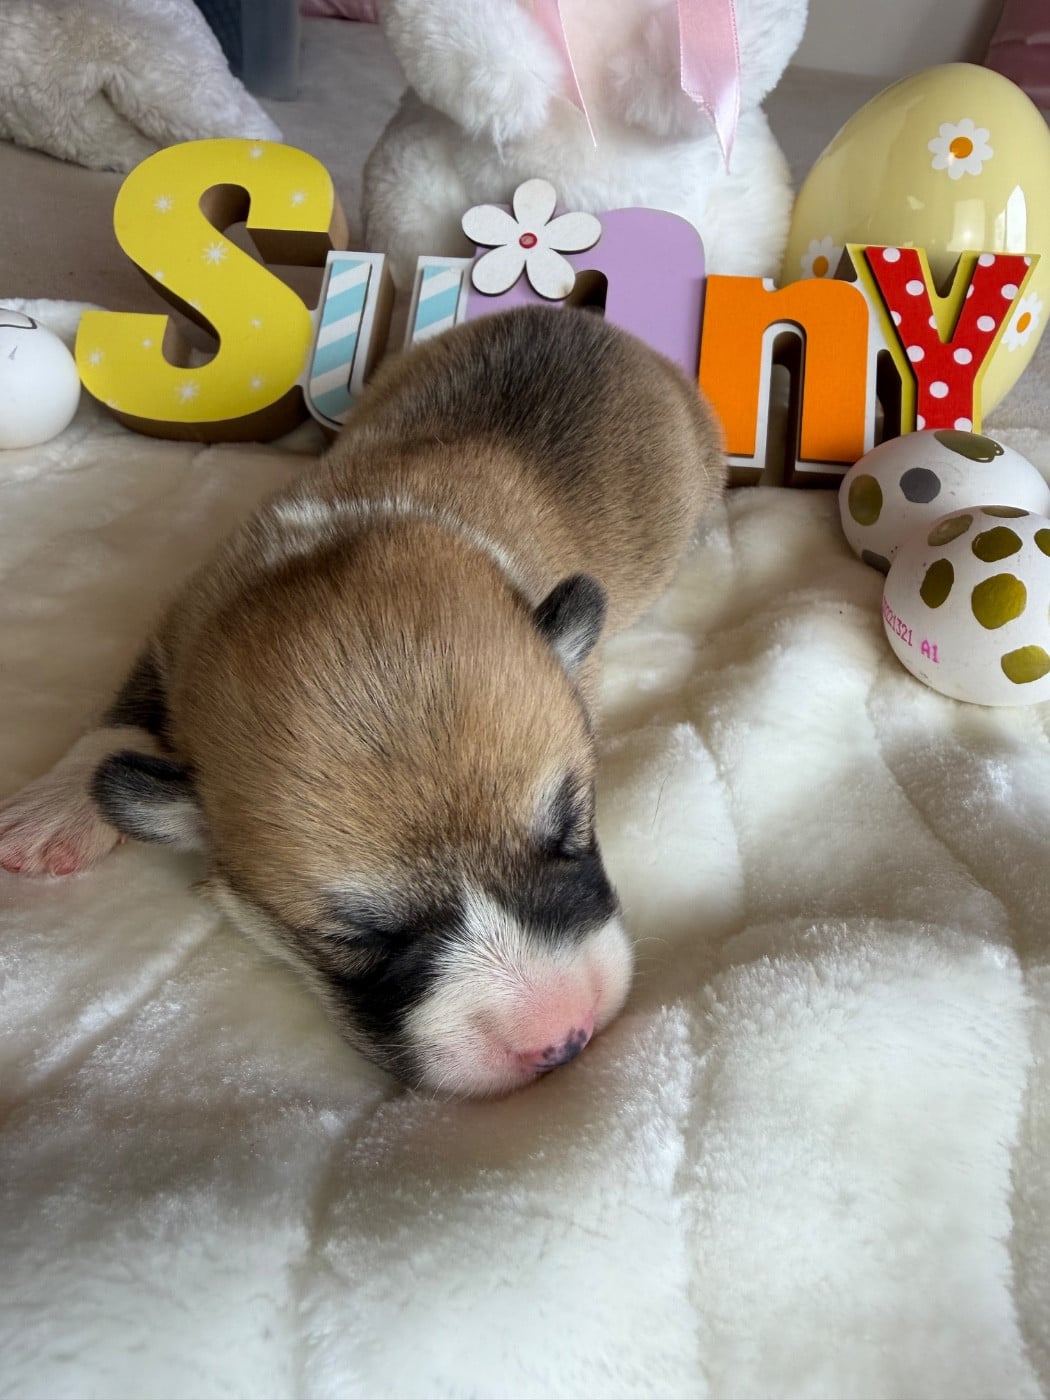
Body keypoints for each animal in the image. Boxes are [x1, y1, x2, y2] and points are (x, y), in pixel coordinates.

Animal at [0, 306, 725, 1096]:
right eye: (361, 939)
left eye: (571, 829)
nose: (564, 1039)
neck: (342, 540)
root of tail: (576, 316)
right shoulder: (178, 624)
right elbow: (128, 706)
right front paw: (53, 809)